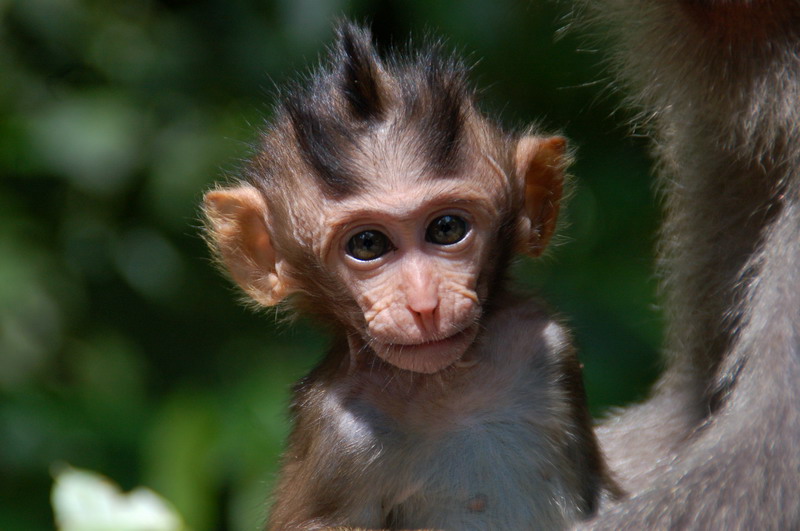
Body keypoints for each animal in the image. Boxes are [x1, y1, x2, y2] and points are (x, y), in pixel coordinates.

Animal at [203, 21, 616, 531]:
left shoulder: (550, 345)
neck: (447, 386)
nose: (424, 304)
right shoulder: (338, 436)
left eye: (446, 228)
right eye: (367, 244)